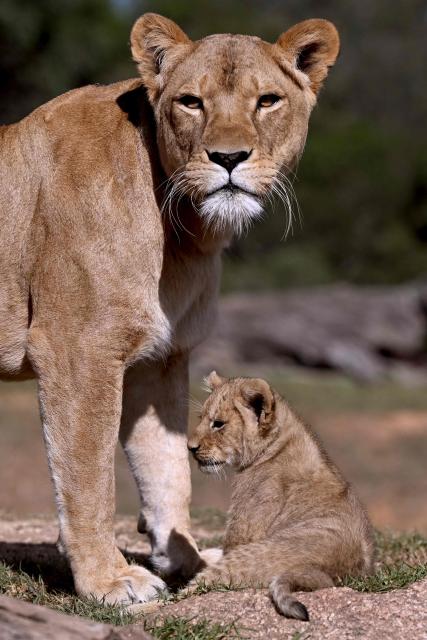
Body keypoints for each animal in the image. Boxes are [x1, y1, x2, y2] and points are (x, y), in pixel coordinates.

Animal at [0, 14, 339, 604]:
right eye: (191, 102)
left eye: (267, 101)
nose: (228, 158)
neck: (185, 232)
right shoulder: (77, 350)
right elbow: (88, 474)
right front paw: (107, 579)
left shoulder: (160, 358)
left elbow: (166, 467)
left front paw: (184, 559)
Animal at [187, 372, 374, 620]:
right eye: (200, 418)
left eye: (218, 424)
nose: (190, 448)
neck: (278, 443)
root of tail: (331, 574)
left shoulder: (243, 531)